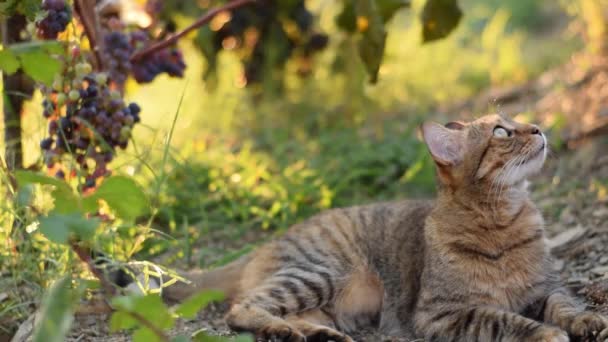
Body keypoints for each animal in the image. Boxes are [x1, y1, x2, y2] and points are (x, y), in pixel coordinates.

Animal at [162, 115, 608, 342]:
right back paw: (280, 330)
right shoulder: (441, 315)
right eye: (502, 131)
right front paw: (547, 334)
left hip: (328, 300)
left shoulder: (547, 288)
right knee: (242, 309)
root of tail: (263, 245)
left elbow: (565, 305)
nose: (538, 128)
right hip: (320, 272)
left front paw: (587, 322)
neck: (503, 218)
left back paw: (317, 336)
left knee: (296, 316)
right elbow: (504, 320)